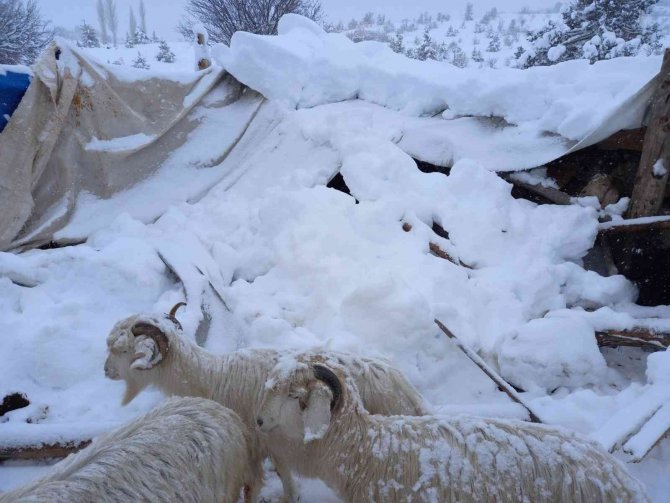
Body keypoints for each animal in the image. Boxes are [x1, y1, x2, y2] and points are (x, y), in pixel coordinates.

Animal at [103, 306, 428, 502]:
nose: (106, 371)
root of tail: (406, 389)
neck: (212, 379)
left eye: (123, 349)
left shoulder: (255, 446)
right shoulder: (270, 444)